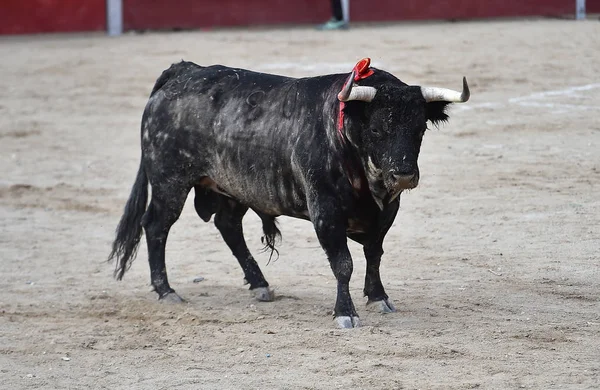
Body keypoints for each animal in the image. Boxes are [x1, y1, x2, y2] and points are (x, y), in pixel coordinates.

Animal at [109, 60, 468, 330]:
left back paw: (260, 285)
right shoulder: (325, 211)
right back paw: (166, 290)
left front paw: (378, 297)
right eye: (377, 129)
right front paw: (345, 313)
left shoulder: (386, 210)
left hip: (233, 187)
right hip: (170, 182)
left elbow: (374, 254)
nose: (403, 175)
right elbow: (343, 263)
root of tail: (183, 71)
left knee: (228, 226)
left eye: (420, 129)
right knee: (157, 226)